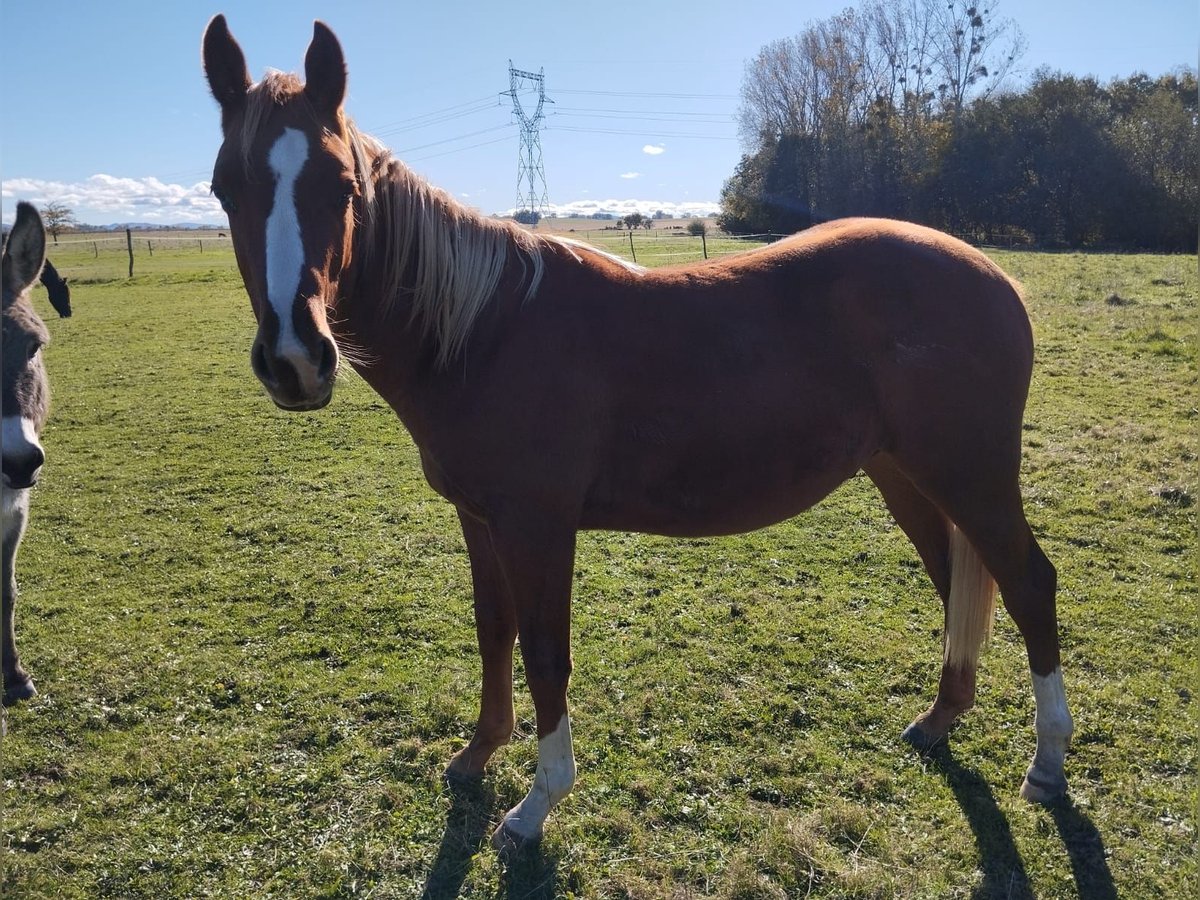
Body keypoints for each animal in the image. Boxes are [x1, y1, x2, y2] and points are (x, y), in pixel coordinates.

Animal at [201, 19, 1075, 854]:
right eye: (223, 188)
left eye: (342, 185)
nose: (295, 358)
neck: (486, 330)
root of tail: (994, 276)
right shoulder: (480, 520)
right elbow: (493, 631)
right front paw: (479, 753)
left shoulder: (538, 527)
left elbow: (545, 653)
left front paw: (535, 806)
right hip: (908, 475)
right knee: (958, 585)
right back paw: (940, 719)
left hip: (971, 475)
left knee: (1029, 583)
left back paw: (1047, 763)